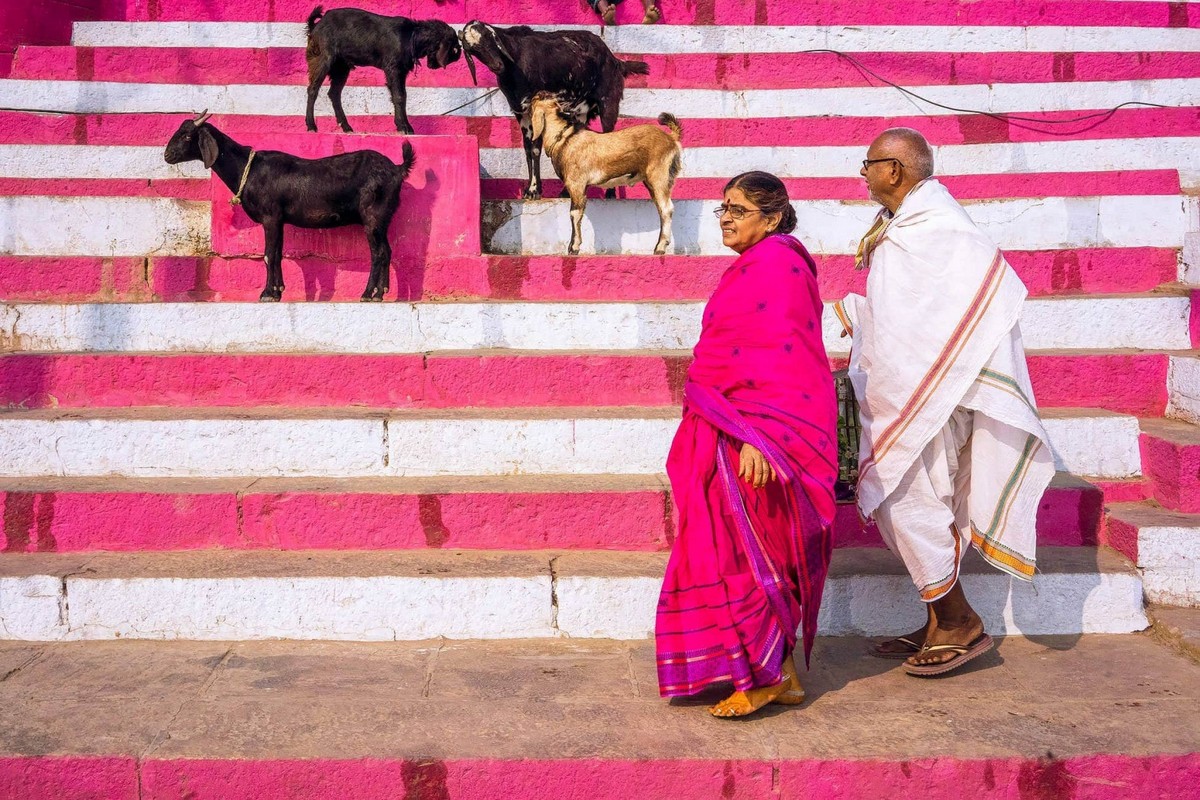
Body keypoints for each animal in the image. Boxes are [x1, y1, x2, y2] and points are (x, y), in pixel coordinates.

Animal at [165, 110, 417, 302]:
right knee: (387, 251)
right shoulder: (279, 220)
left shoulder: (270, 217)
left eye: (187, 136)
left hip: (372, 216)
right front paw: (278, 292)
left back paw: (367, 293)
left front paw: (267, 293)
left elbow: (268, 254)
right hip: (382, 220)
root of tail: (397, 169)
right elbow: (277, 253)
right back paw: (380, 293)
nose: (167, 155)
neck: (249, 169)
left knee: (378, 253)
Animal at [304, 5, 463, 134]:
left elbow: (402, 95)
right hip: (323, 58)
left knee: (334, 93)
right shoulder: (393, 68)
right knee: (313, 89)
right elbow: (399, 96)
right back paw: (311, 125)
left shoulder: (401, 71)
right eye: (454, 48)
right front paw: (404, 127)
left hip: (341, 67)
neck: (411, 36)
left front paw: (404, 125)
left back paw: (346, 127)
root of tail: (316, 26)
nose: (459, 56)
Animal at [456, 21, 648, 200]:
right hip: (581, 112)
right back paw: (565, 192)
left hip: (609, 102)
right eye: (474, 50)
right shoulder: (521, 113)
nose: (497, 65)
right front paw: (531, 190)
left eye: (490, 39)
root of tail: (615, 60)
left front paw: (534, 190)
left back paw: (609, 194)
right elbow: (528, 149)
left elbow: (535, 148)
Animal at [528, 93, 681, 256]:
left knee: (666, 209)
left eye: (532, 104)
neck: (564, 139)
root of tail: (672, 138)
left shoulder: (576, 184)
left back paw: (660, 248)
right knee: (661, 209)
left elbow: (575, 213)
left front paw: (573, 248)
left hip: (660, 176)